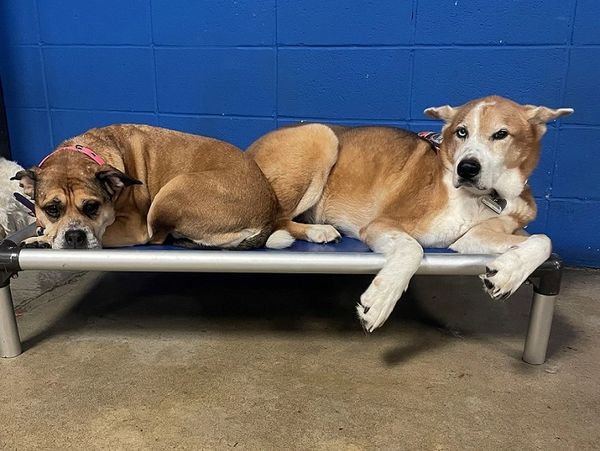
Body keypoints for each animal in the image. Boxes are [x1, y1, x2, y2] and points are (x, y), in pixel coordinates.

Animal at [247, 95, 572, 332]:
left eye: (501, 134)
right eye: (461, 132)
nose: (466, 168)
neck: (483, 198)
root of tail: (249, 150)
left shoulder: (471, 238)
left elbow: (544, 240)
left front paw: (508, 273)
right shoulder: (381, 224)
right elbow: (412, 248)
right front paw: (381, 299)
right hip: (320, 136)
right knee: (275, 219)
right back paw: (317, 231)